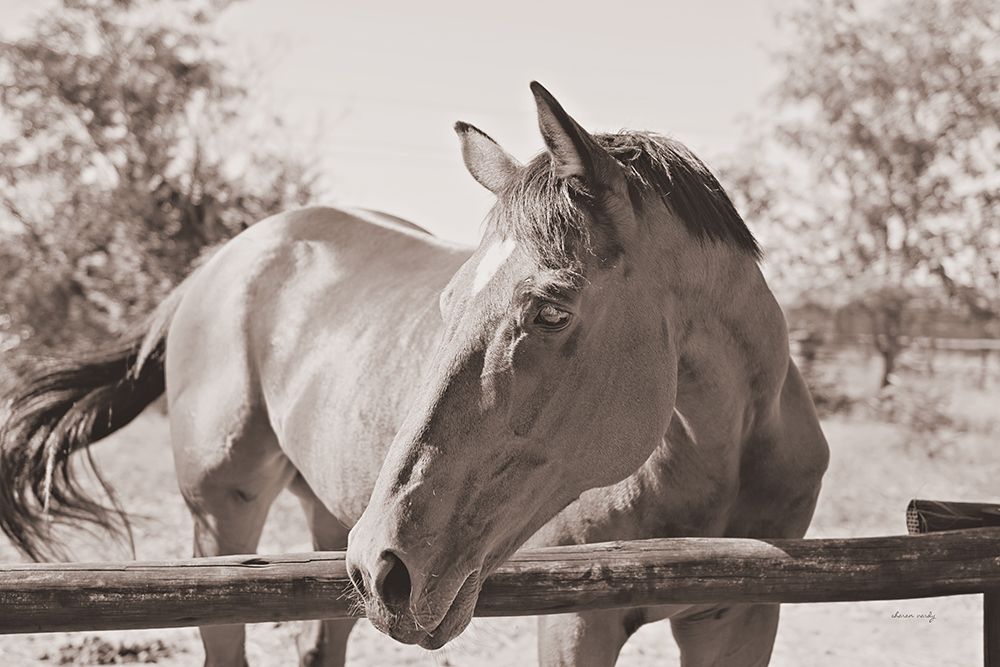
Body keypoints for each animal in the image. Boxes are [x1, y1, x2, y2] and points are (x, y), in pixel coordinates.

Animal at [0, 85, 828, 667]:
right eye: (448, 301)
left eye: (551, 311)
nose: (386, 567)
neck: (716, 453)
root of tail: (219, 262)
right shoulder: (577, 620)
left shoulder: (740, 617)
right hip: (220, 521)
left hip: (325, 515)